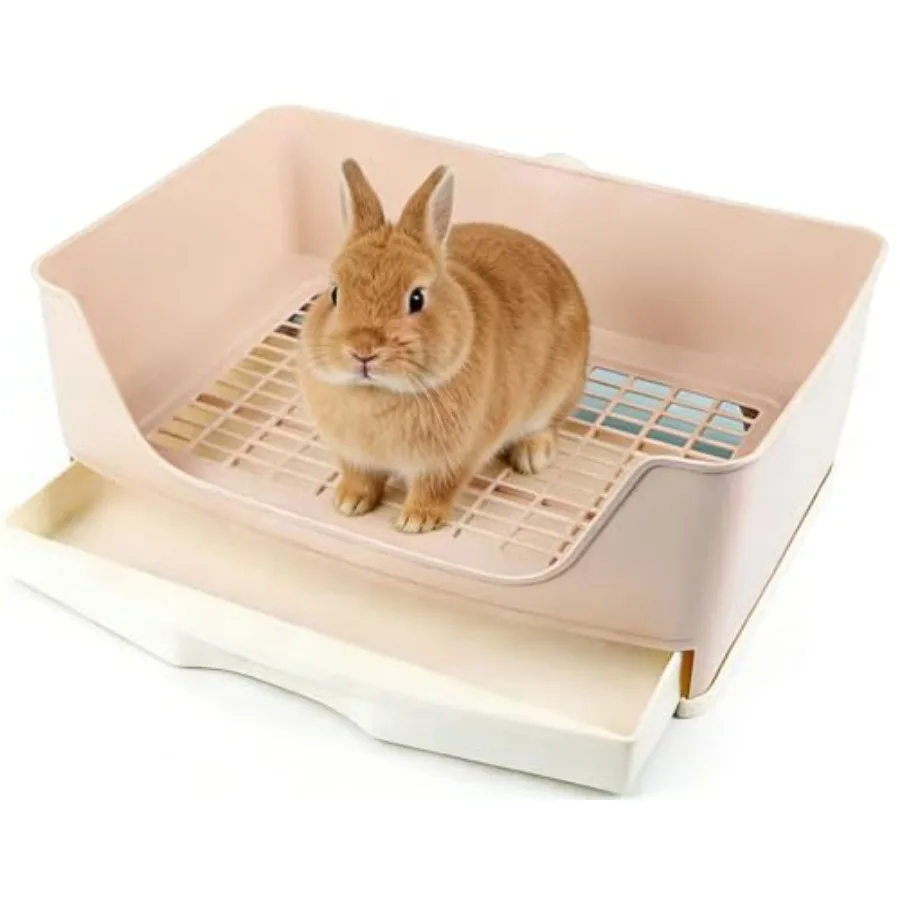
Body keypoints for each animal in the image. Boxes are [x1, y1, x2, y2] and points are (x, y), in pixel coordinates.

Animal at [299, 158, 590, 534]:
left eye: (417, 298)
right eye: (334, 293)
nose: (363, 350)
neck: (379, 393)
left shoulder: (453, 459)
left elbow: (437, 488)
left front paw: (416, 521)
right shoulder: (356, 457)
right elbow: (361, 477)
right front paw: (349, 502)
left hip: (559, 390)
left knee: (549, 423)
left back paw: (532, 456)